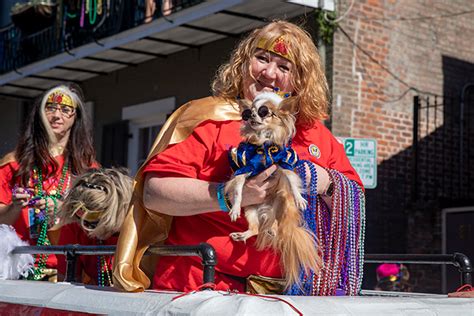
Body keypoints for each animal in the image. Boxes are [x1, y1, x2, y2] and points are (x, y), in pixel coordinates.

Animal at [226, 91, 322, 288]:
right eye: (248, 112)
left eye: (264, 112)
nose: (251, 115)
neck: (263, 144)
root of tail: (266, 210)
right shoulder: (243, 167)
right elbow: (238, 188)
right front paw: (234, 208)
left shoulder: (285, 162)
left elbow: (292, 182)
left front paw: (299, 198)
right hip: (251, 211)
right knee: (256, 228)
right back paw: (245, 234)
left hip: (282, 202)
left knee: (277, 224)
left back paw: (272, 228)